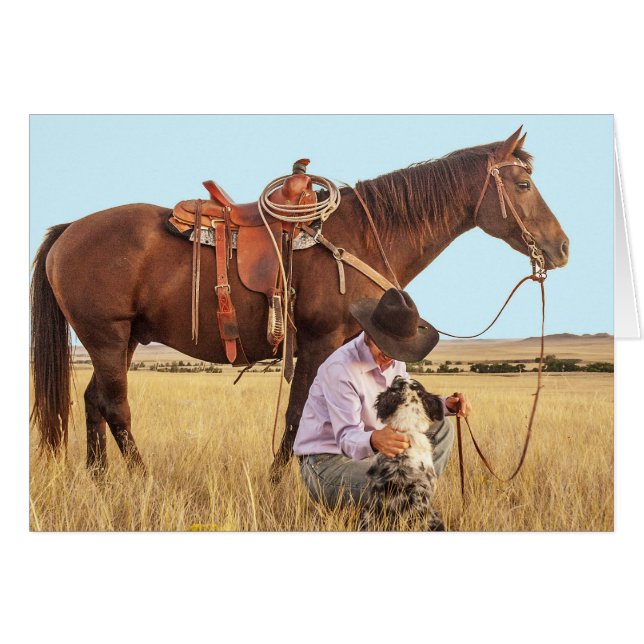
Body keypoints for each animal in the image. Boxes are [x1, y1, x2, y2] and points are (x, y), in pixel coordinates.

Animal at [30, 127, 569, 482]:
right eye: (523, 185)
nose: (562, 247)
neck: (361, 236)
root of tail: (70, 230)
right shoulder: (317, 341)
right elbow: (297, 414)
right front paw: (278, 482)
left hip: (120, 341)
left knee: (94, 402)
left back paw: (100, 479)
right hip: (106, 336)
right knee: (116, 407)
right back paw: (142, 478)